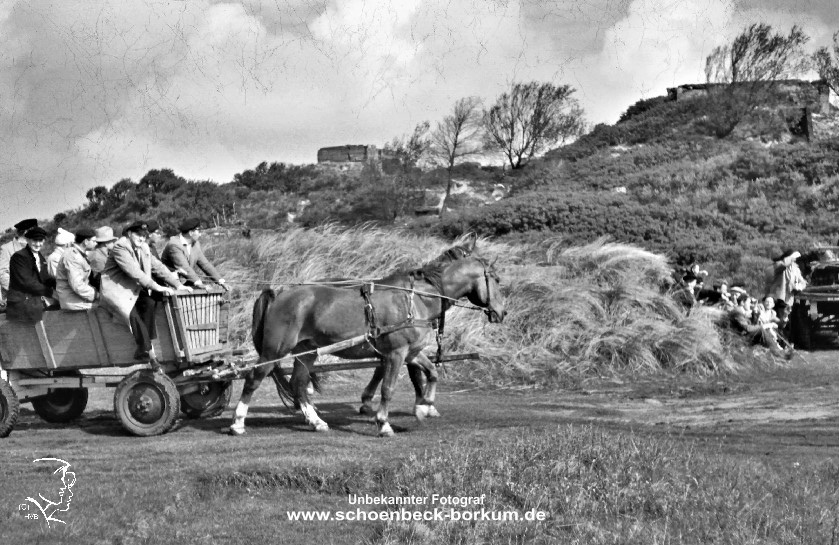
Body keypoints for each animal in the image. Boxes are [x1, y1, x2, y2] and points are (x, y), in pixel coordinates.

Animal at [230, 255, 506, 438]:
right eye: (496, 279)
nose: (502, 312)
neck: (416, 299)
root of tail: (279, 293)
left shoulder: (411, 352)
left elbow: (432, 372)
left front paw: (424, 406)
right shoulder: (396, 353)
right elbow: (388, 388)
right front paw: (384, 423)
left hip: (305, 352)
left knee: (298, 383)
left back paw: (316, 422)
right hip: (274, 350)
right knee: (253, 378)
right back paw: (238, 422)